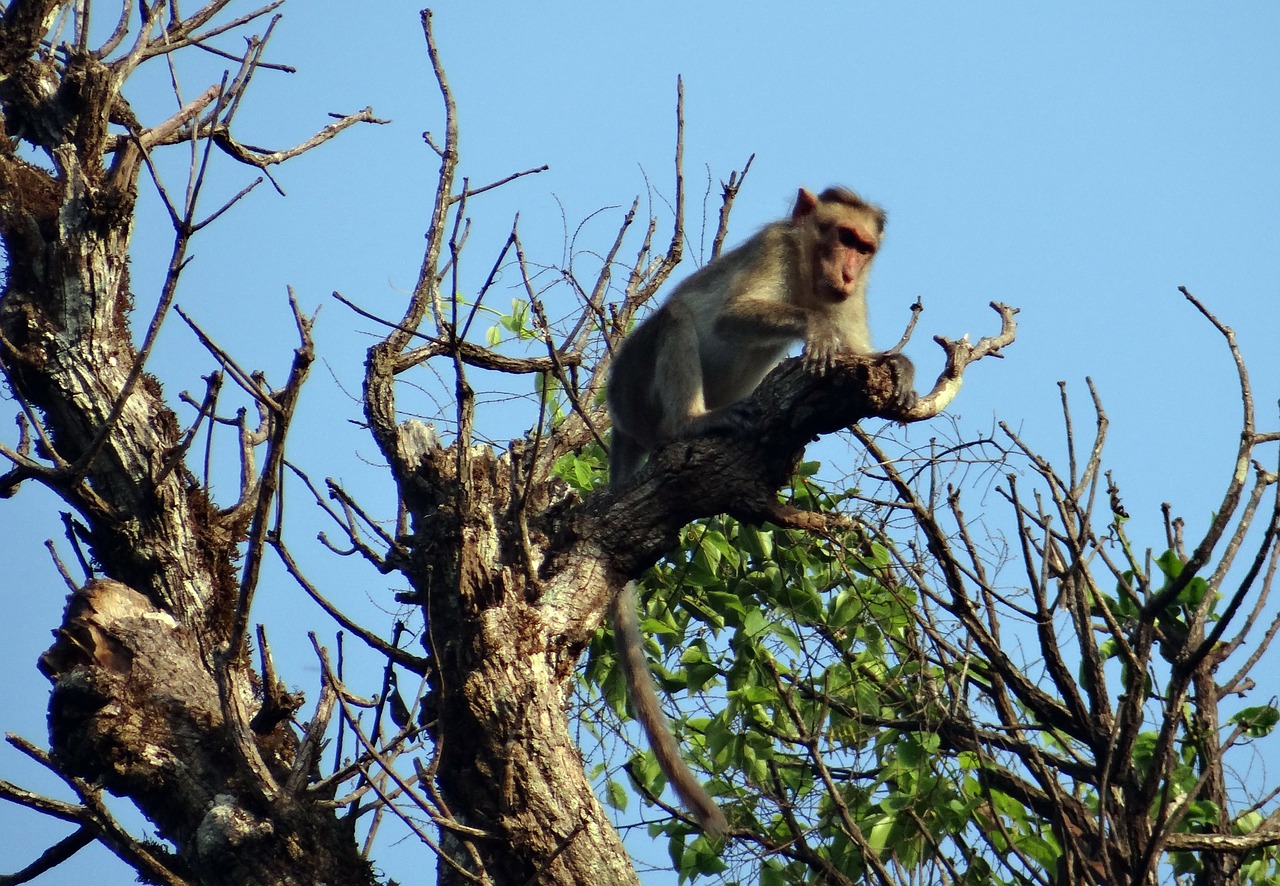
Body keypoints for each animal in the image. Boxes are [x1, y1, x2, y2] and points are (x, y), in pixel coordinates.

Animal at [604, 186, 916, 839]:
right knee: (676, 319)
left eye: (863, 247)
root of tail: (620, 421)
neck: (808, 272)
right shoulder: (774, 249)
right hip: (632, 388)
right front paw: (813, 326)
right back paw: (692, 424)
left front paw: (897, 365)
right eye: (840, 238)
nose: (847, 273)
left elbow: (859, 353)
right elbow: (729, 316)